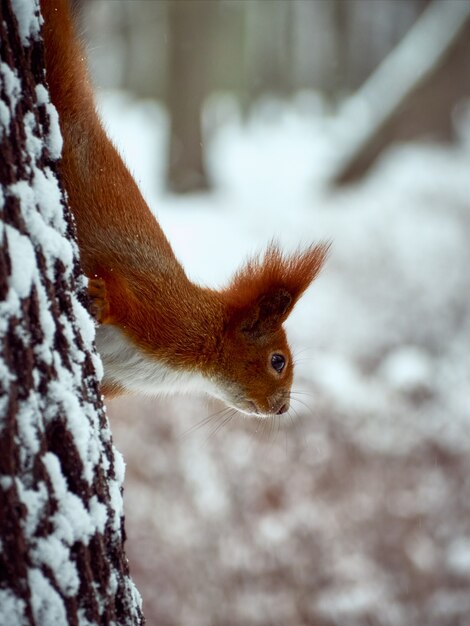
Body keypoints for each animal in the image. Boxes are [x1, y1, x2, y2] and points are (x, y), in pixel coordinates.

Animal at [40, 2, 328, 416]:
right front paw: (102, 298)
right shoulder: (164, 314)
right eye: (278, 361)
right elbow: (125, 298)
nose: (283, 409)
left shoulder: (115, 380)